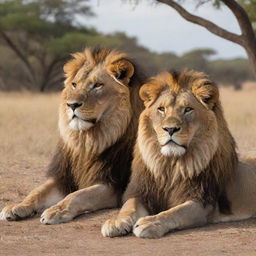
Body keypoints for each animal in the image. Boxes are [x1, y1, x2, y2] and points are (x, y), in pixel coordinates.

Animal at [0, 46, 146, 224]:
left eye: (97, 85)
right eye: (74, 84)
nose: (71, 105)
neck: (88, 142)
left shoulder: (113, 184)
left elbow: (78, 195)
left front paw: (55, 211)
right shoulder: (63, 178)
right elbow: (37, 191)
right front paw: (17, 206)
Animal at [101, 69, 256, 238]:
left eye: (188, 109)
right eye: (161, 109)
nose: (170, 129)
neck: (170, 165)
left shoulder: (202, 202)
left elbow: (174, 213)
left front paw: (149, 223)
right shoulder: (143, 192)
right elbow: (129, 206)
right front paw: (116, 221)